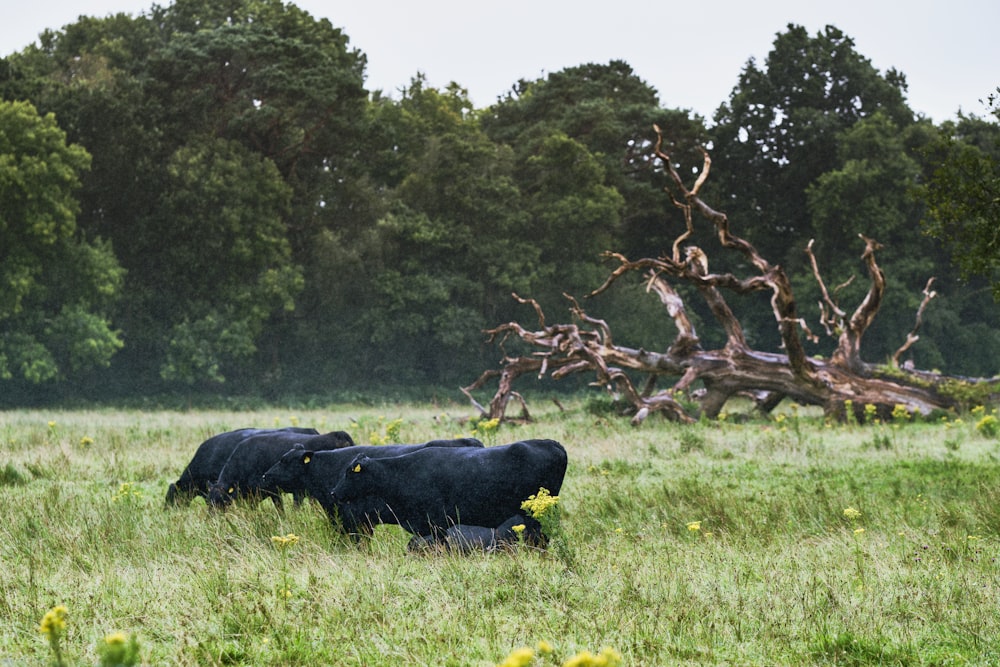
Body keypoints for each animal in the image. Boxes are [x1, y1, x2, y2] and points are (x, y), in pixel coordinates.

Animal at [207, 428, 356, 512]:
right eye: (209, 501)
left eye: (221, 500)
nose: (212, 518)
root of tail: (338, 434)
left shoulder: (273, 490)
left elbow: (280, 509)